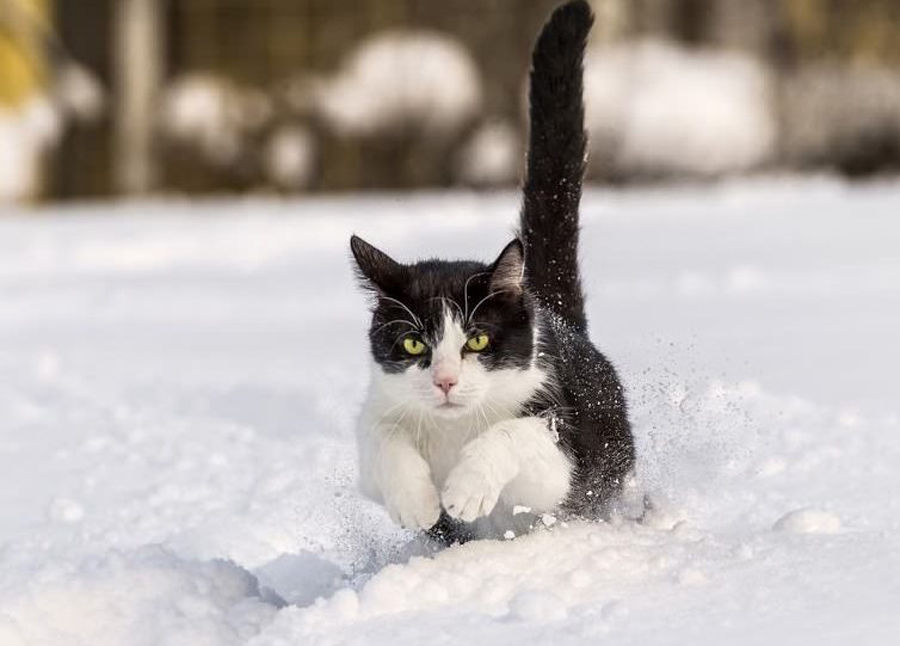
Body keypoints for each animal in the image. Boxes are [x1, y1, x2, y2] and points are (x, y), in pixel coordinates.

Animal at [350, 0, 632, 548]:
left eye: (478, 340)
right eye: (413, 344)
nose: (445, 381)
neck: (454, 428)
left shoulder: (559, 444)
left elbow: (514, 436)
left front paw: (466, 490)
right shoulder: (377, 409)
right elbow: (382, 440)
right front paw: (418, 503)